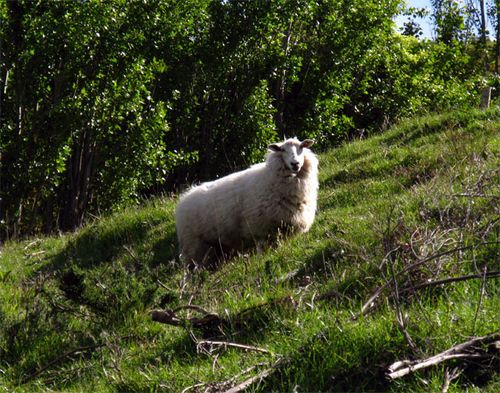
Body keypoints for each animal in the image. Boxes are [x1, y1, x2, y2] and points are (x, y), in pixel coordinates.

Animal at [174, 136, 318, 268]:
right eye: (282, 150)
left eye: (301, 147)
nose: (295, 164)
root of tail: (184, 198)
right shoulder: (260, 229)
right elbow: (263, 249)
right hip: (196, 247)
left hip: (217, 249)